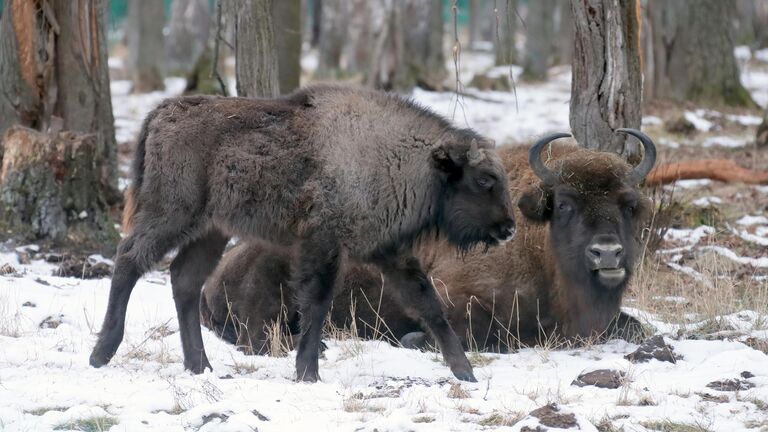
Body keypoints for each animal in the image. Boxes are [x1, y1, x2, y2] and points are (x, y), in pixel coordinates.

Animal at [93, 84, 520, 382]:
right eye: (485, 180)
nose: (510, 227)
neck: (405, 159)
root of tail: (162, 112)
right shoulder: (323, 244)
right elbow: (315, 304)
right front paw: (308, 373)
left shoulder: (390, 252)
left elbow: (429, 304)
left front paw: (466, 372)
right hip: (171, 214)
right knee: (129, 260)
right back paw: (102, 353)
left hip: (210, 231)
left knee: (183, 280)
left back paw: (201, 366)